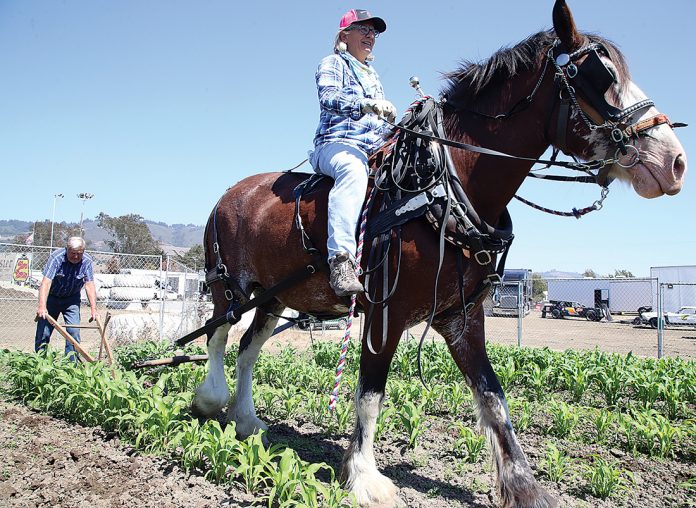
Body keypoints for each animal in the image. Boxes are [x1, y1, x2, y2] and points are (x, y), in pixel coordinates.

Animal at [189, 1, 684, 506]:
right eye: (601, 74)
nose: (675, 162)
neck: (444, 188)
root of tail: (229, 194)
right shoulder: (384, 314)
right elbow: (370, 394)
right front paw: (364, 476)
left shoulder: (462, 316)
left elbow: (494, 399)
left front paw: (525, 487)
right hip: (228, 287)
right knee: (218, 336)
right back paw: (211, 400)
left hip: (273, 297)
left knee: (248, 348)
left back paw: (246, 421)